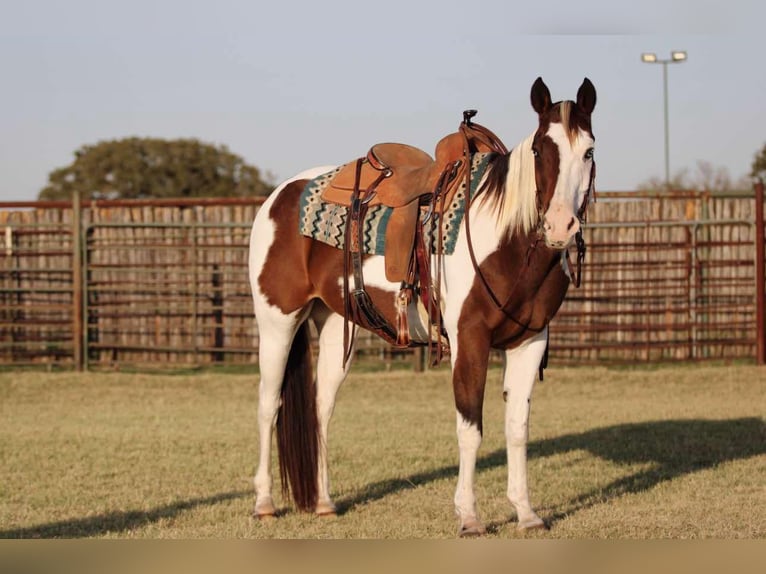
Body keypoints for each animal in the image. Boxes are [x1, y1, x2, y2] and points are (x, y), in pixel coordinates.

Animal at [248, 77, 596, 536]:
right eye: (540, 149)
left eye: (588, 151)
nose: (559, 226)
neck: (506, 240)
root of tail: (277, 197)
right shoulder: (469, 340)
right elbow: (471, 429)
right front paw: (469, 517)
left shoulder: (530, 342)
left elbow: (517, 429)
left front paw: (526, 514)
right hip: (277, 321)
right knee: (269, 405)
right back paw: (264, 503)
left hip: (335, 324)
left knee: (321, 407)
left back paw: (323, 502)